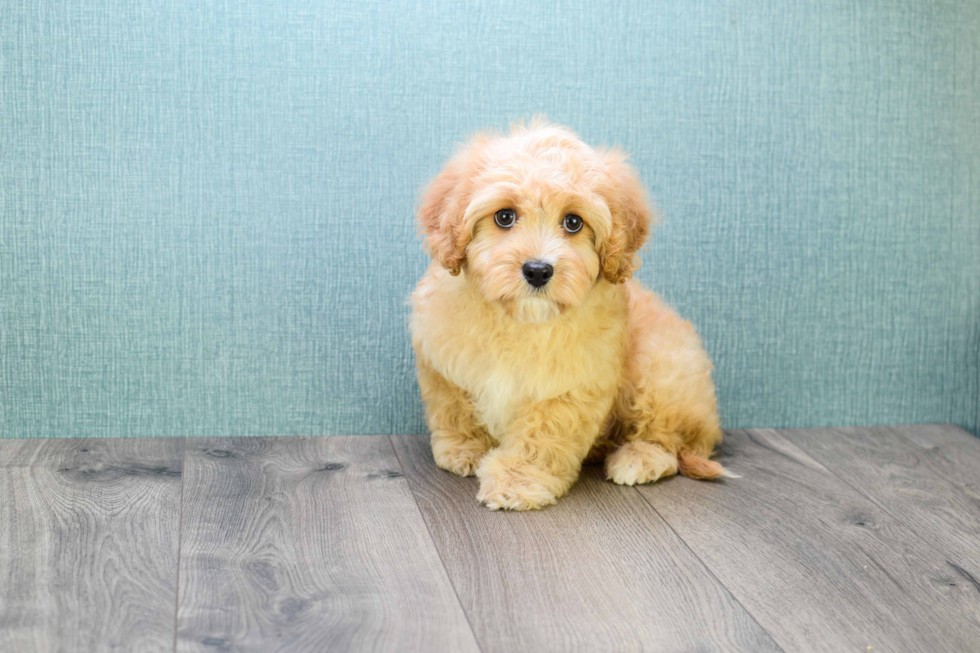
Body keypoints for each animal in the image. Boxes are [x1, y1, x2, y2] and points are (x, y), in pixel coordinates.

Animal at [408, 121, 728, 510]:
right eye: (504, 216)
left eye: (573, 222)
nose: (538, 270)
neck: (520, 321)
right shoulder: (443, 364)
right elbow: (454, 408)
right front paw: (463, 450)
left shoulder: (569, 385)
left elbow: (542, 435)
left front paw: (518, 481)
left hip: (664, 367)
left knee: (670, 436)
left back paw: (639, 458)